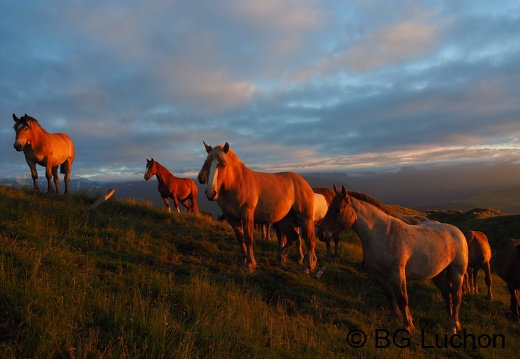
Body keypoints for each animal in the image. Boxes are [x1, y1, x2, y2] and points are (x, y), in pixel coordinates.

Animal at [196, 142, 314, 272]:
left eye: (223, 165)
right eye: (207, 163)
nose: (211, 193)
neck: (237, 183)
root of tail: (304, 183)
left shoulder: (247, 215)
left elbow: (248, 238)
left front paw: (250, 264)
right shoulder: (232, 218)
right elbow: (240, 238)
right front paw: (243, 261)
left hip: (305, 219)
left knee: (309, 240)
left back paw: (309, 267)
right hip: (283, 220)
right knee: (293, 237)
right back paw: (280, 259)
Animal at [316, 186, 468, 334]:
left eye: (338, 210)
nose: (321, 234)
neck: (382, 234)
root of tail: (458, 232)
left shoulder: (397, 274)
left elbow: (402, 298)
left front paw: (408, 325)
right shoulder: (380, 275)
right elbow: (390, 295)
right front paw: (396, 318)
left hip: (457, 273)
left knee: (456, 297)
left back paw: (453, 327)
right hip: (438, 275)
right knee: (447, 294)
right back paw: (452, 322)